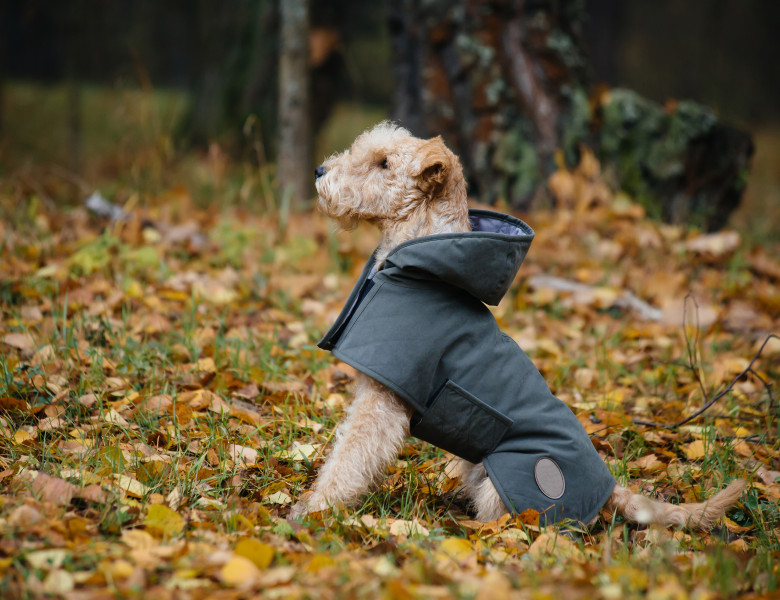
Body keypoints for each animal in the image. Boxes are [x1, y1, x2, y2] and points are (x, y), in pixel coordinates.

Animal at [290, 123, 748, 528]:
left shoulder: (382, 400)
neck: (418, 265)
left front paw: (316, 510)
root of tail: (609, 491)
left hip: (513, 481)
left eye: (384, 163)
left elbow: (348, 458)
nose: (319, 171)